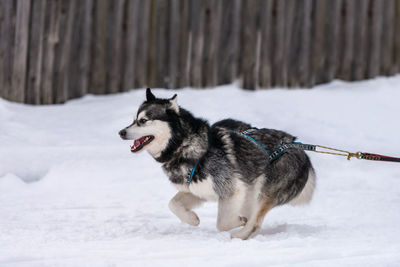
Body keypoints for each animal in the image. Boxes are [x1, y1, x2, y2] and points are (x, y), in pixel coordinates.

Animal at [119, 88, 316, 241]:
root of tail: (298, 146)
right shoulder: (197, 191)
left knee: (255, 223)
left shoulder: (231, 191)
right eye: (133, 119)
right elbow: (172, 204)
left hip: (264, 191)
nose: (121, 132)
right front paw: (191, 219)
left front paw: (238, 222)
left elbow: (222, 223)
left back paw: (239, 235)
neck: (184, 146)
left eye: (143, 121)